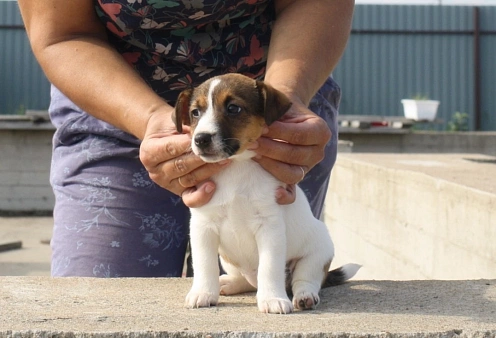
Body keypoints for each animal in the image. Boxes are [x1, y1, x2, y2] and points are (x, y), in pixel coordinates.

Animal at [172, 74, 358, 314]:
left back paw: (305, 296)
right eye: (195, 112)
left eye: (233, 108)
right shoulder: (203, 226)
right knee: (247, 280)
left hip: (317, 253)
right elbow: (205, 265)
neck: (237, 167)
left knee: (304, 279)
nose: (201, 139)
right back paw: (228, 283)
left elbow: (269, 267)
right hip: (229, 260)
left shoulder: (270, 228)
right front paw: (203, 292)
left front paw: (272, 298)